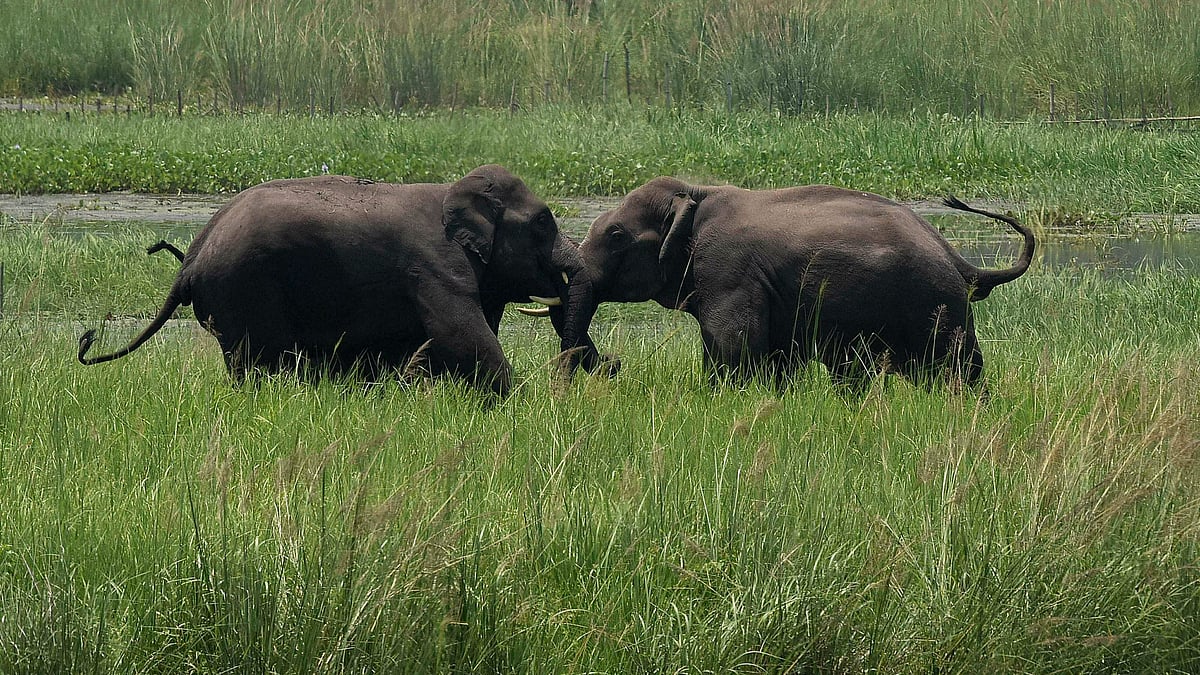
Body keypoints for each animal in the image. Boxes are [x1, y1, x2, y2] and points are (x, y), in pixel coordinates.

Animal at [78, 164, 612, 396]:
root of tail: (190, 258)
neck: (454, 192)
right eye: (543, 222)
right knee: (259, 361)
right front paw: (519, 402)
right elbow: (463, 335)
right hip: (245, 288)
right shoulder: (436, 267)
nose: (615, 366)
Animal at [532, 178, 1035, 392]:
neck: (694, 191)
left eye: (617, 236)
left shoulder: (728, 270)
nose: (614, 364)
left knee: (956, 370)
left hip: (935, 304)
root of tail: (962, 262)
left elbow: (734, 347)